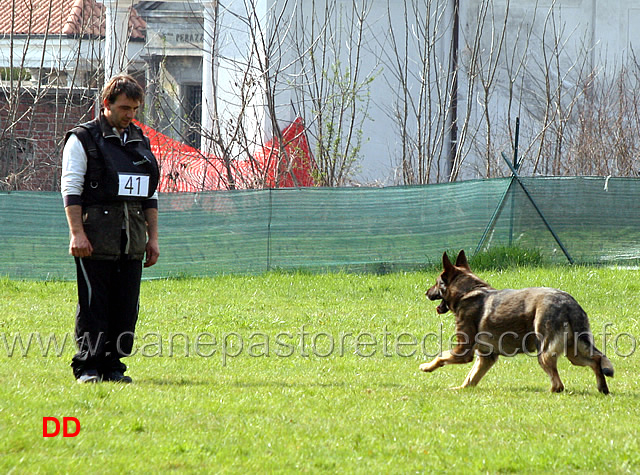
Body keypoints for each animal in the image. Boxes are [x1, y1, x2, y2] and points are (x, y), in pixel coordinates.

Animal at [420, 249, 616, 394]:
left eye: (436, 283)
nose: (426, 292)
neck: (467, 292)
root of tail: (568, 303)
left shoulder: (463, 350)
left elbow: (441, 356)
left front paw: (426, 367)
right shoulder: (486, 357)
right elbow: (470, 379)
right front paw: (459, 389)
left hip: (544, 352)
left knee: (558, 385)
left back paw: (546, 392)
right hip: (574, 353)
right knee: (596, 360)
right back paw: (602, 388)